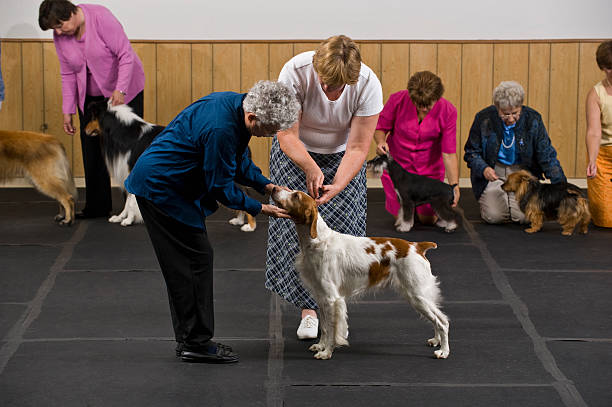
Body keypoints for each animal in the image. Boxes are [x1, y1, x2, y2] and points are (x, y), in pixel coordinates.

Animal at [272, 188, 450, 360]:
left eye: (296, 195)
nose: (273, 188)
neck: (316, 241)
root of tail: (417, 246)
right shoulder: (321, 296)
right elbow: (324, 327)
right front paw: (320, 346)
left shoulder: (332, 299)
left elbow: (331, 329)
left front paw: (326, 352)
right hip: (419, 295)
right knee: (437, 319)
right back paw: (436, 341)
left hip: (417, 294)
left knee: (442, 322)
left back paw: (443, 351)